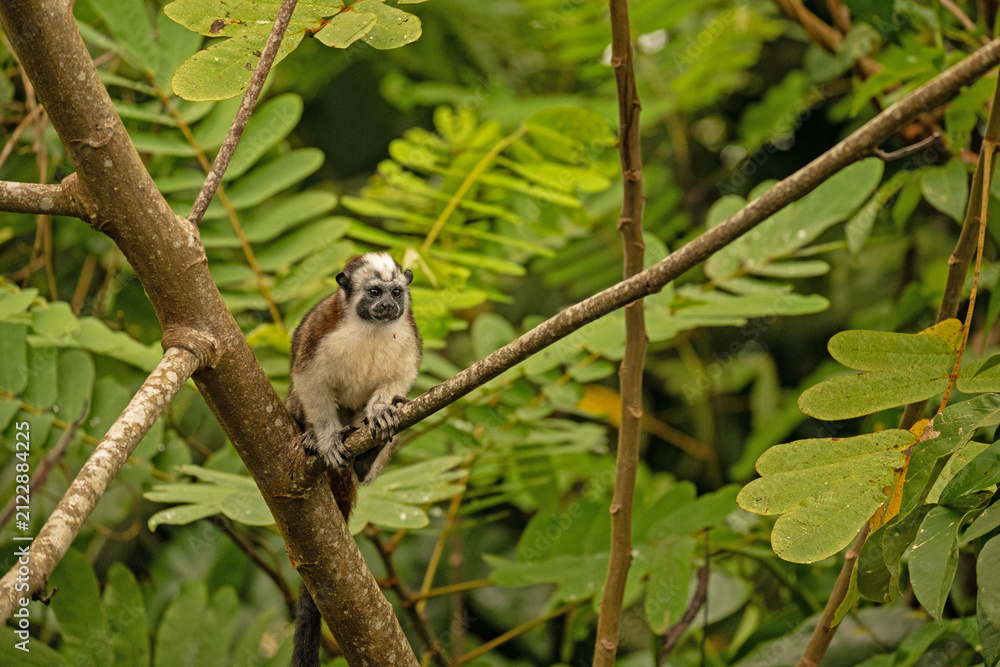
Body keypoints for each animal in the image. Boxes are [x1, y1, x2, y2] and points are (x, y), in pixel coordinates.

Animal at [286, 252, 421, 667]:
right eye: (374, 292)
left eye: (396, 292)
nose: (389, 306)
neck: (372, 327)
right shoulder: (321, 331)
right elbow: (309, 378)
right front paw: (327, 438)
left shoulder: (408, 333)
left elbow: (401, 376)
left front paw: (381, 409)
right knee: (299, 398)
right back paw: (314, 437)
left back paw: (368, 456)